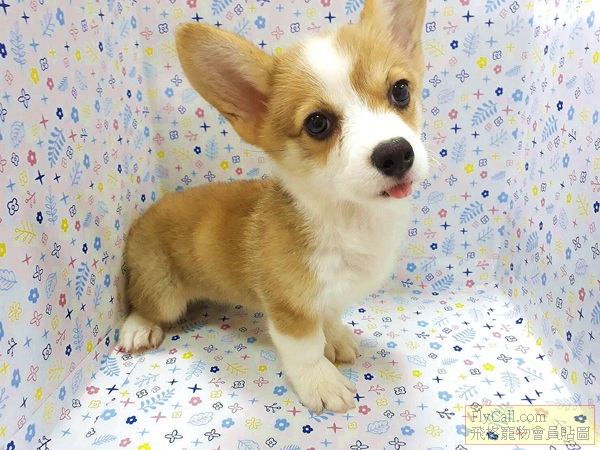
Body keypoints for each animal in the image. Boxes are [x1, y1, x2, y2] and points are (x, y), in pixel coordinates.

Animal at [117, 0, 429, 414]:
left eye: (400, 90)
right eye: (317, 123)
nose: (395, 153)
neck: (348, 218)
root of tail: (141, 219)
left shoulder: (327, 298)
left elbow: (330, 316)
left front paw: (336, 338)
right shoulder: (289, 309)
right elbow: (306, 351)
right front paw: (322, 383)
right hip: (163, 293)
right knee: (143, 305)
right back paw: (138, 329)